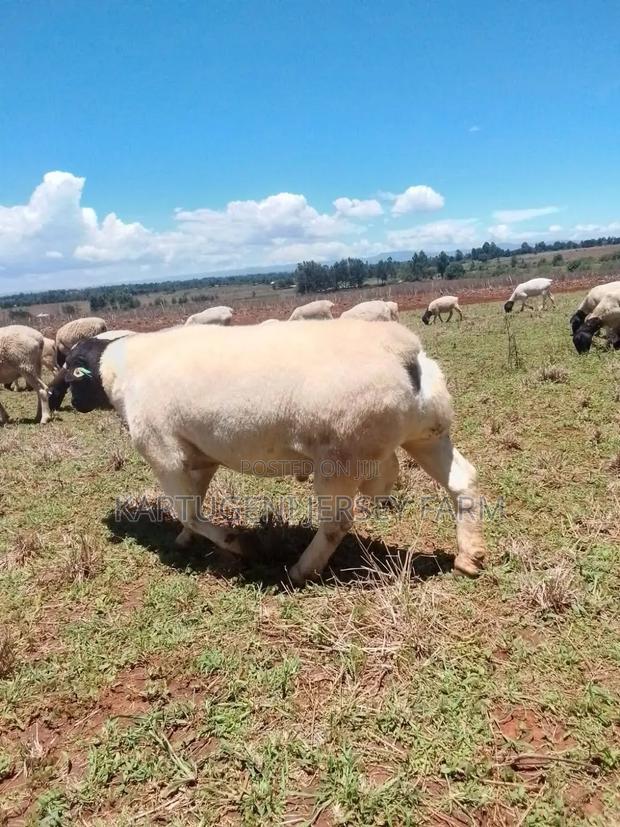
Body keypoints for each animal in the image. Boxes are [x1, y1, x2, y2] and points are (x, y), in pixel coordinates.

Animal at [55, 320, 486, 584]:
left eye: (73, 374)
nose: (74, 404)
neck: (122, 370)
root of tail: (404, 351)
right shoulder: (201, 454)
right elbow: (195, 503)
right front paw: (184, 540)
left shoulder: (164, 453)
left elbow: (189, 511)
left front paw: (236, 543)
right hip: (427, 434)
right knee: (462, 481)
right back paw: (470, 555)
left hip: (339, 458)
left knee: (336, 524)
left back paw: (300, 571)